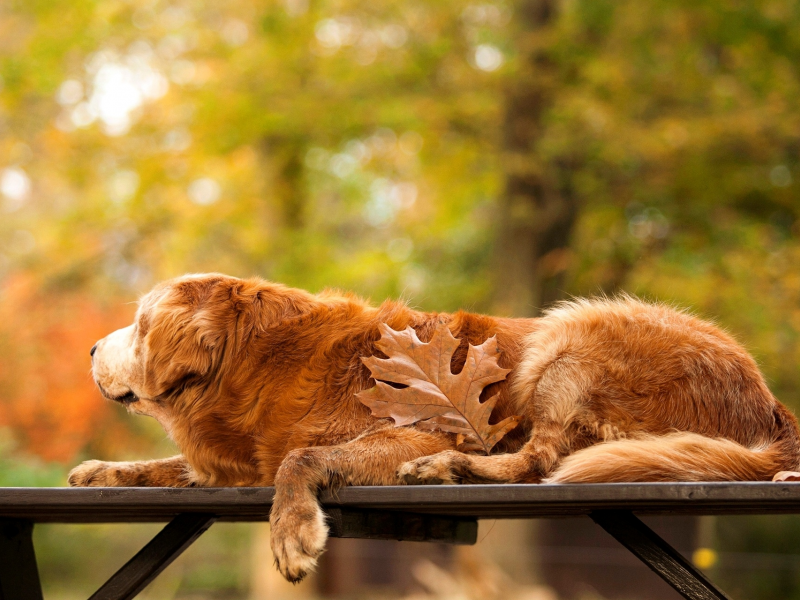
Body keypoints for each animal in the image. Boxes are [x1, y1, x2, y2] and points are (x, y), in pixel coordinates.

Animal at [70, 274, 800, 580]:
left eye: (137, 324)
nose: (90, 348)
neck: (257, 362)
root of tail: (769, 402)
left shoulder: (413, 430)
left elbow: (300, 459)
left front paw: (292, 531)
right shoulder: (238, 461)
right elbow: (173, 468)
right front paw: (103, 471)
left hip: (570, 335)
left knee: (539, 461)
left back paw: (453, 469)